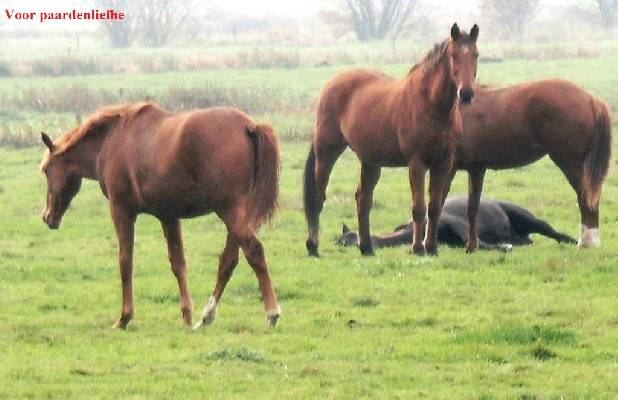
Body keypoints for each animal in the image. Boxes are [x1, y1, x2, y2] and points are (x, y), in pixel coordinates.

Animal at [42, 102, 282, 328]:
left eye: (45, 170)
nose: (47, 217)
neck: (112, 140)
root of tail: (249, 126)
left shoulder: (122, 211)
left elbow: (125, 261)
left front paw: (124, 317)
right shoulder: (168, 216)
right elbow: (178, 263)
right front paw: (186, 316)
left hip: (229, 212)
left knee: (253, 250)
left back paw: (272, 312)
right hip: (238, 215)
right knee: (229, 260)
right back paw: (207, 316)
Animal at [304, 24, 476, 256]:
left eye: (475, 55)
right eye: (454, 55)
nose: (466, 94)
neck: (432, 105)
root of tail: (331, 83)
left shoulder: (443, 162)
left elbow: (434, 207)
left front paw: (432, 248)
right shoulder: (417, 163)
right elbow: (419, 208)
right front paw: (417, 248)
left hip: (370, 161)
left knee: (363, 199)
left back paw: (367, 248)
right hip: (327, 152)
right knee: (318, 197)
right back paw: (313, 246)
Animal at [454, 79, 608, 252]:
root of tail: (591, 99)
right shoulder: (476, 169)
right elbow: (471, 206)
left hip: (571, 163)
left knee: (586, 198)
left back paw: (587, 242)